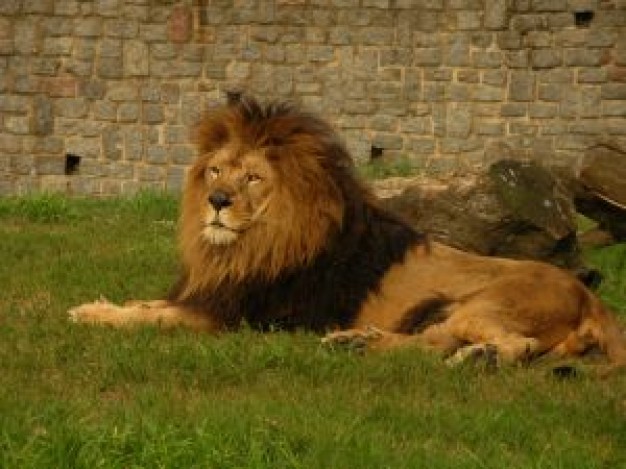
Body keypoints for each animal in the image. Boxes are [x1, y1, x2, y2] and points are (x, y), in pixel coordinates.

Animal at [69, 96, 624, 372]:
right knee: (431, 343)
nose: (217, 202)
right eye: (215, 171)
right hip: (442, 309)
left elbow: (155, 319)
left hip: (489, 302)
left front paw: (96, 316)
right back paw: (354, 343)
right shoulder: (215, 293)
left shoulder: (233, 317)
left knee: (515, 346)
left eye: (252, 178)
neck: (250, 246)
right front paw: (98, 305)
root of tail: (593, 300)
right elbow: (147, 305)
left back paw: (481, 357)